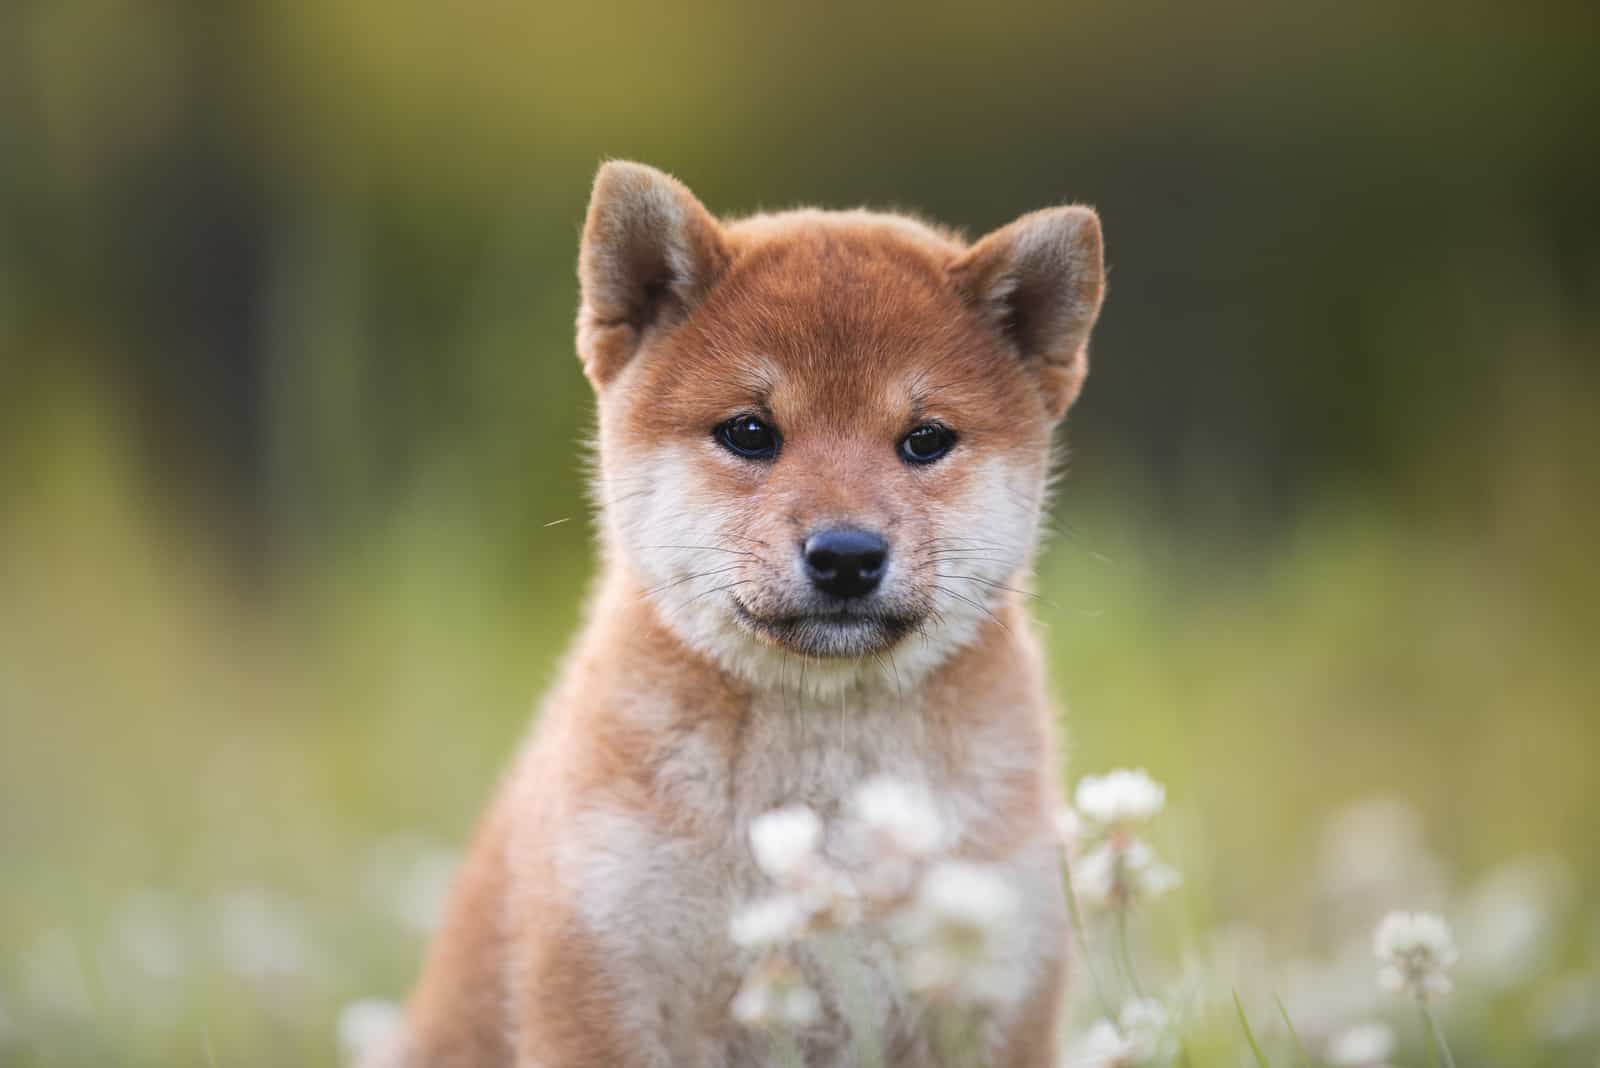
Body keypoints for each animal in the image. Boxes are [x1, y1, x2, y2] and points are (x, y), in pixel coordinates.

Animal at [385, 163, 1107, 1061]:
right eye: (750, 432)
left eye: (925, 439)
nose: (846, 555)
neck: (824, 797)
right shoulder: (602, 984)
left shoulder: (992, 994)